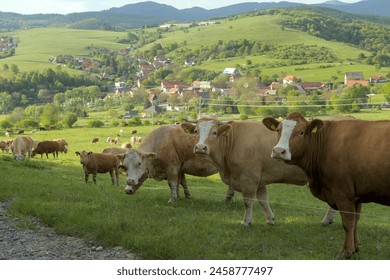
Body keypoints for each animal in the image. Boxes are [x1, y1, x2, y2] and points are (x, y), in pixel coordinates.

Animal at [180, 117, 336, 226]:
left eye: (214, 132)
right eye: (196, 131)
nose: (200, 147)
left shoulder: (249, 179)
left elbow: (248, 202)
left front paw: (246, 222)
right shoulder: (260, 180)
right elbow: (263, 200)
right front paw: (270, 219)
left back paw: (326, 220)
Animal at [260, 111, 390, 258]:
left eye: (301, 132)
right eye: (278, 130)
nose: (278, 151)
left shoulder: (343, 194)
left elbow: (348, 223)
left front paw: (346, 251)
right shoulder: (356, 195)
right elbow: (356, 221)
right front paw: (355, 247)